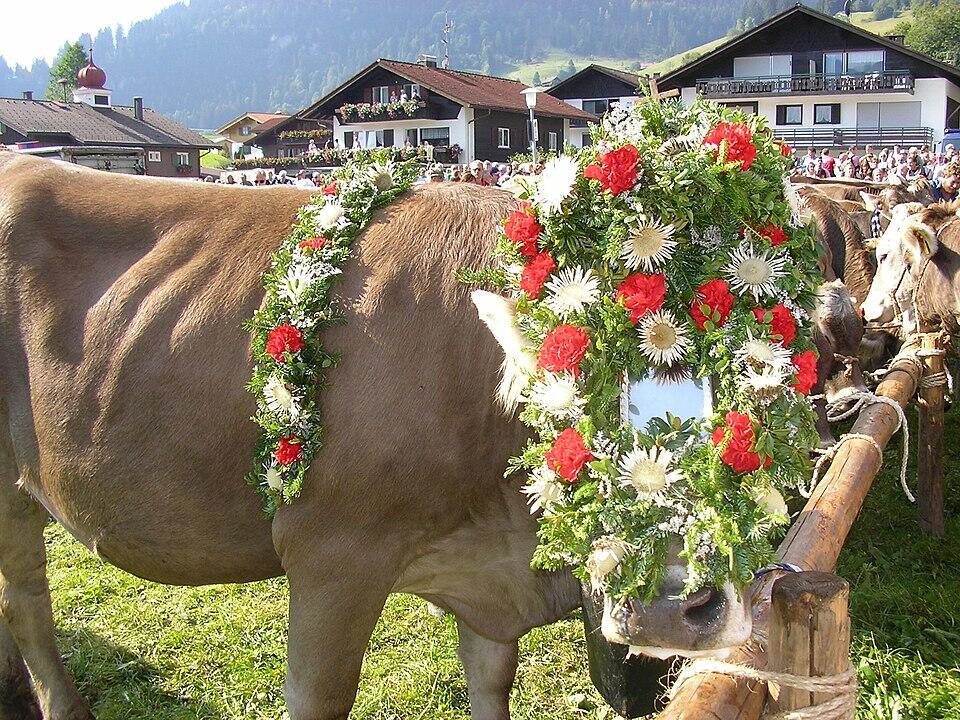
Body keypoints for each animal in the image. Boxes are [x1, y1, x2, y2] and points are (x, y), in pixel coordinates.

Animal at [0, 153, 755, 720]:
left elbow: (492, 681)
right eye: (581, 396)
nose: (675, 606)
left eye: (756, 396)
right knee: (28, 600)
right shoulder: (331, 557)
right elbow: (321, 698)